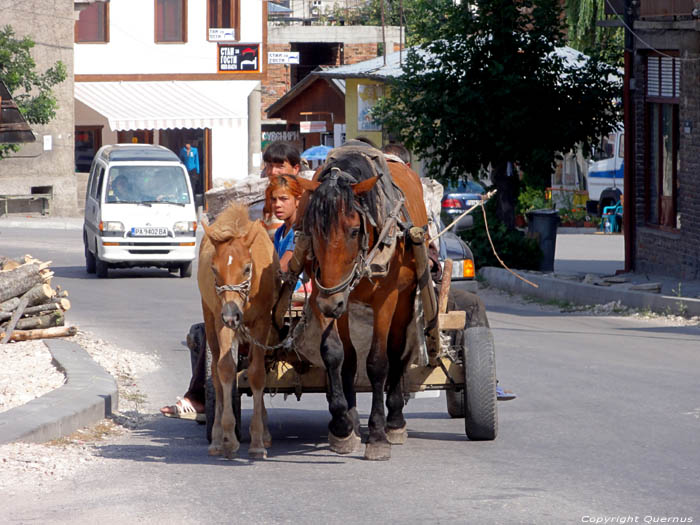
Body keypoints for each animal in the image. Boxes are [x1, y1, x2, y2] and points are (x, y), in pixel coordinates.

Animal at [197, 203, 278, 456]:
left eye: (247, 268)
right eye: (214, 269)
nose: (232, 315)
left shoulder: (262, 322)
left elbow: (257, 373)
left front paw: (257, 441)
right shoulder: (221, 321)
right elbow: (225, 369)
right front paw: (228, 435)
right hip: (210, 317)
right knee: (214, 372)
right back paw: (216, 438)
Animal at [296, 144, 430, 458]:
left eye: (354, 230)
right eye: (313, 229)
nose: (331, 305)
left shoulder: (385, 299)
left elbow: (378, 362)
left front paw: (378, 434)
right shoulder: (326, 293)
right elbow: (336, 355)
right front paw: (342, 424)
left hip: (404, 299)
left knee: (398, 353)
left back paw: (394, 420)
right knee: (351, 358)